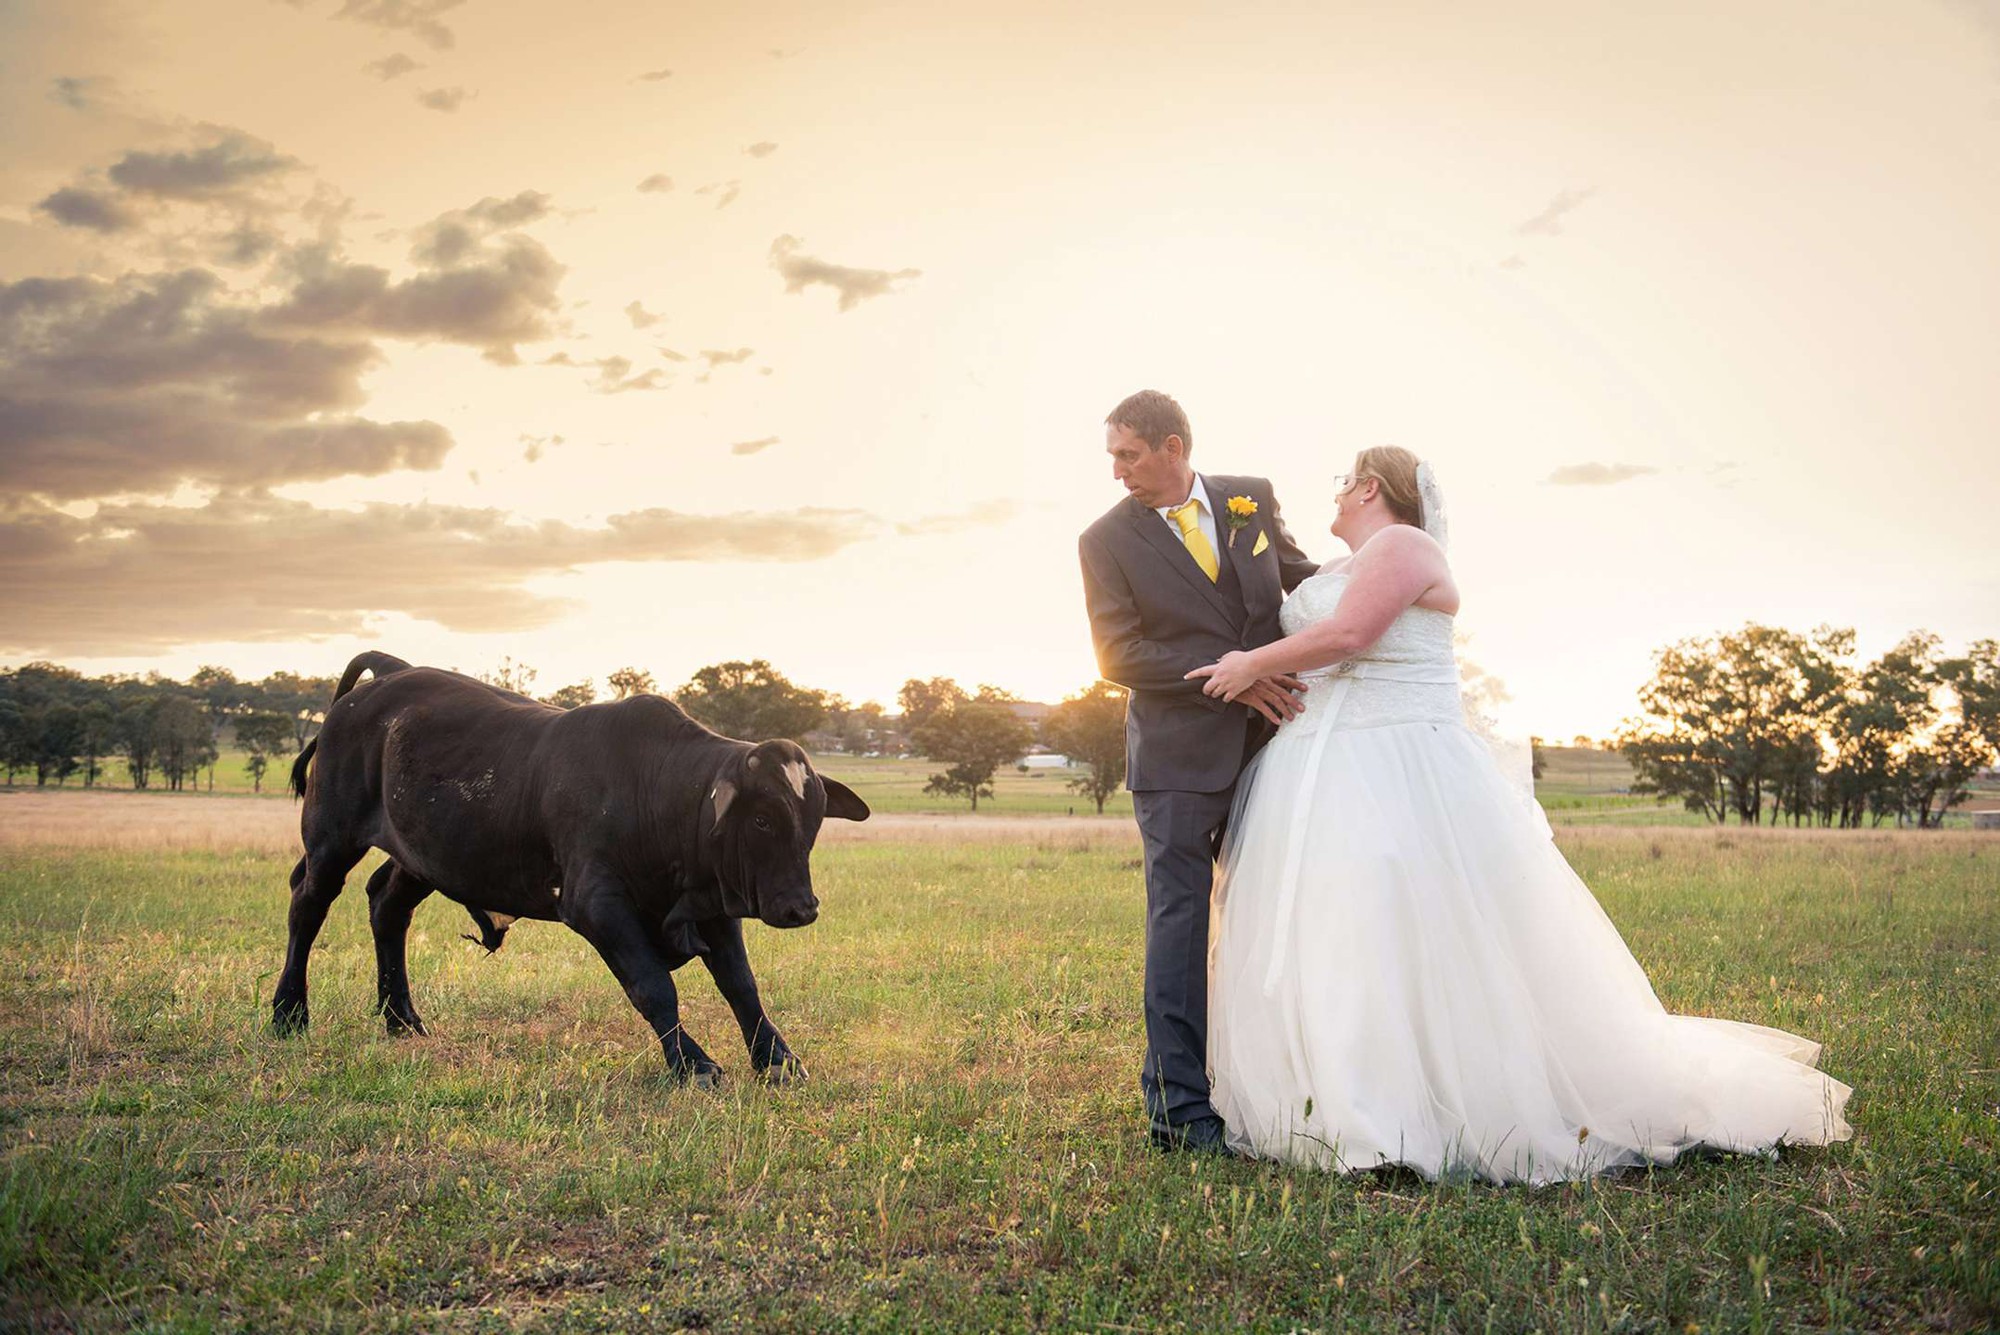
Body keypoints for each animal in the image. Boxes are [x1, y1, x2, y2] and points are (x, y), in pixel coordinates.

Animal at [274, 655, 868, 1087]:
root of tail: (388, 675)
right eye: (763, 818)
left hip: (422, 857)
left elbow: (742, 986)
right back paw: (288, 1013)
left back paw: (401, 1019)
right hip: (331, 839)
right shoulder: (597, 905)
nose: (801, 908)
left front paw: (777, 1060)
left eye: (813, 818)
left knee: (387, 907)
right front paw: (693, 1064)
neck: (658, 791)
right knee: (308, 906)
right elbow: (653, 987)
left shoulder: (713, 907)